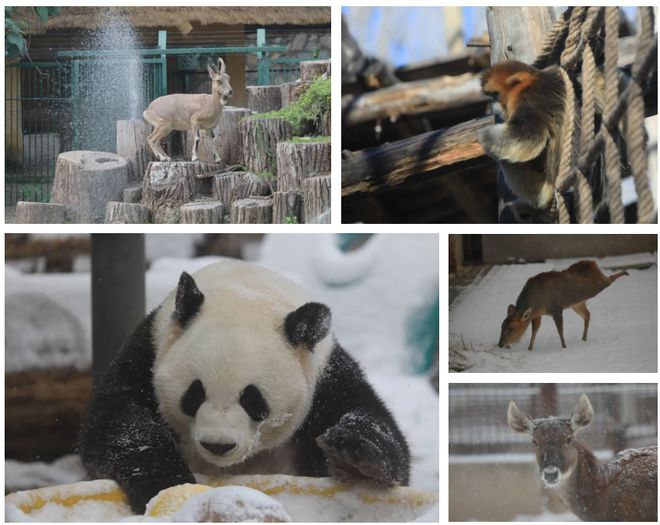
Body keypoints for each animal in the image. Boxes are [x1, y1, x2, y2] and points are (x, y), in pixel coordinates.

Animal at [80, 260, 410, 512]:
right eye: (194, 393)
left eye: (253, 400)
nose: (218, 445)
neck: (248, 292)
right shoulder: (147, 353)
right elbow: (118, 425)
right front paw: (165, 481)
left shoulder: (324, 379)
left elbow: (367, 417)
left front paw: (353, 454)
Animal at [498, 260, 628, 350]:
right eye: (502, 325)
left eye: (511, 328)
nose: (500, 344)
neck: (537, 303)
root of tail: (592, 262)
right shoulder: (537, 315)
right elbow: (535, 330)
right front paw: (529, 349)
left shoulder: (556, 308)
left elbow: (560, 329)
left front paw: (564, 347)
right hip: (577, 303)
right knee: (587, 314)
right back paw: (584, 338)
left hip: (595, 286)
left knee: (608, 280)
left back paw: (625, 272)